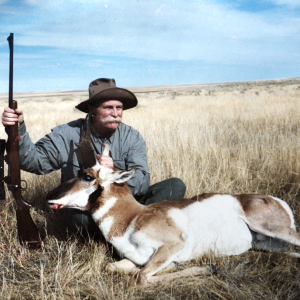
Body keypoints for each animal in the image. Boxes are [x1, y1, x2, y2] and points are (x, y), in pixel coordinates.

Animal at [47, 113, 300, 284]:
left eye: (88, 176)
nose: (50, 198)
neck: (132, 219)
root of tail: (275, 200)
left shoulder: (173, 245)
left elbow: (142, 277)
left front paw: (206, 268)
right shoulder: (140, 258)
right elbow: (116, 267)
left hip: (275, 230)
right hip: (268, 244)